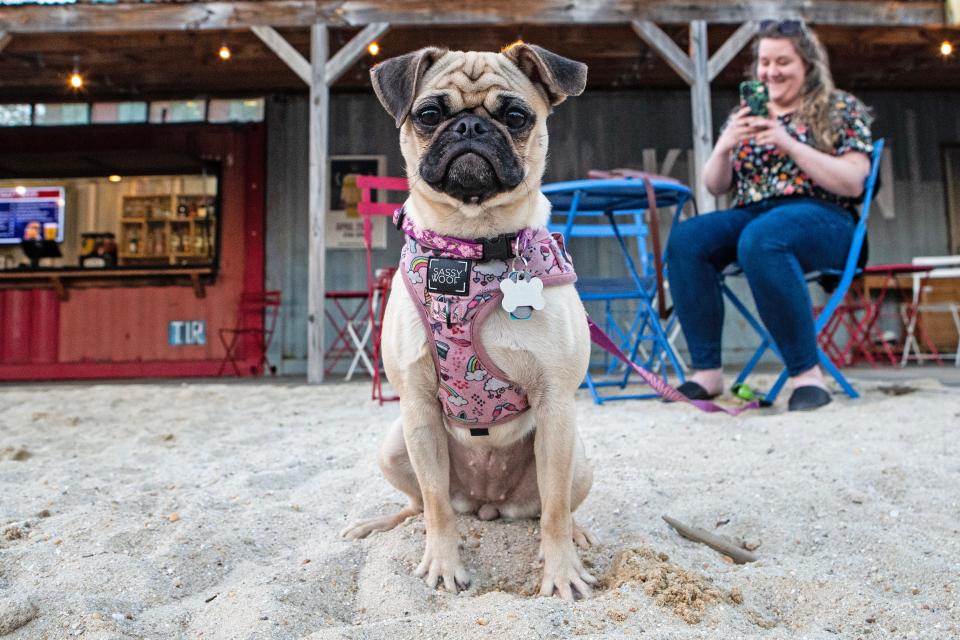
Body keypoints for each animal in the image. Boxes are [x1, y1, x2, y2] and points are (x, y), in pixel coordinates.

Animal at [338, 43, 592, 600]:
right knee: (421, 504)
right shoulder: (417, 408)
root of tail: (487, 501)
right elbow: (435, 503)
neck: (471, 248)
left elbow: (554, 511)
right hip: (395, 445)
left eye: (516, 118)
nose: (471, 127)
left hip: (578, 459)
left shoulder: (558, 407)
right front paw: (442, 564)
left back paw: (578, 535)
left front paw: (561, 571)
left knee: (554, 507)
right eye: (430, 114)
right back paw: (381, 524)